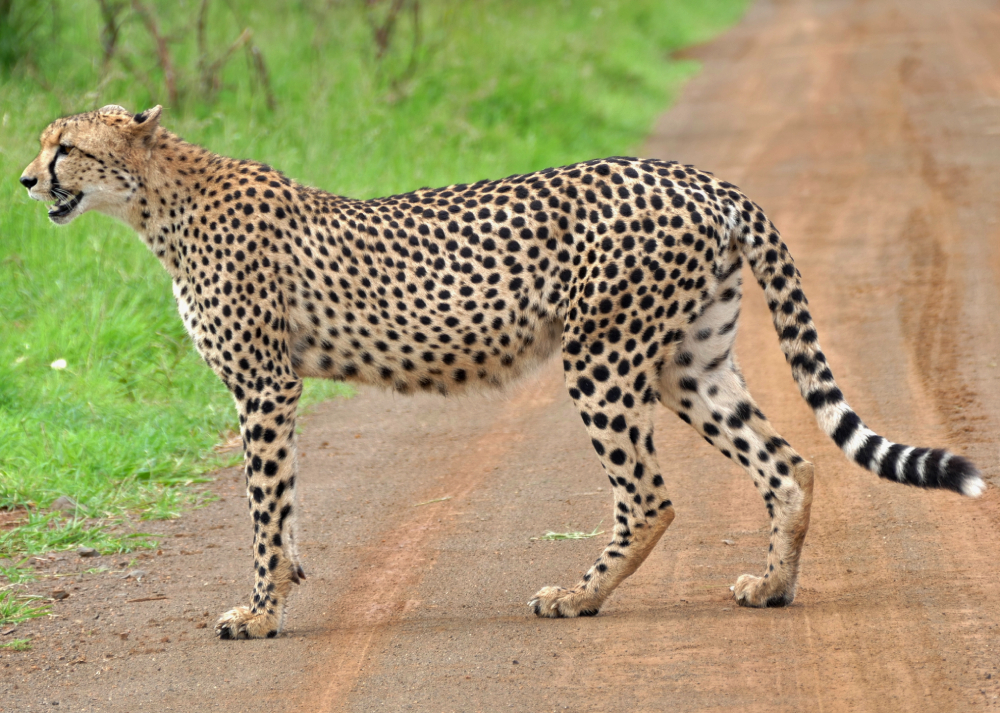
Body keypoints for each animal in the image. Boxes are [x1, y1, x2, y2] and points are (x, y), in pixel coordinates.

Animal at [21, 103, 984, 636]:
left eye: (65, 147)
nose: (28, 180)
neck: (157, 200)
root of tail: (694, 174)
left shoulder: (264, 384)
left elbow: (264, 509)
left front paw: (258, 611)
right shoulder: (274, 389)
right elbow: (283, 504)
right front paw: (282, 590)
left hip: (601, 357)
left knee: (649, 496)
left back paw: (576, 597)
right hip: (688, 360)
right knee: (787, 463)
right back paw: (772, 586)